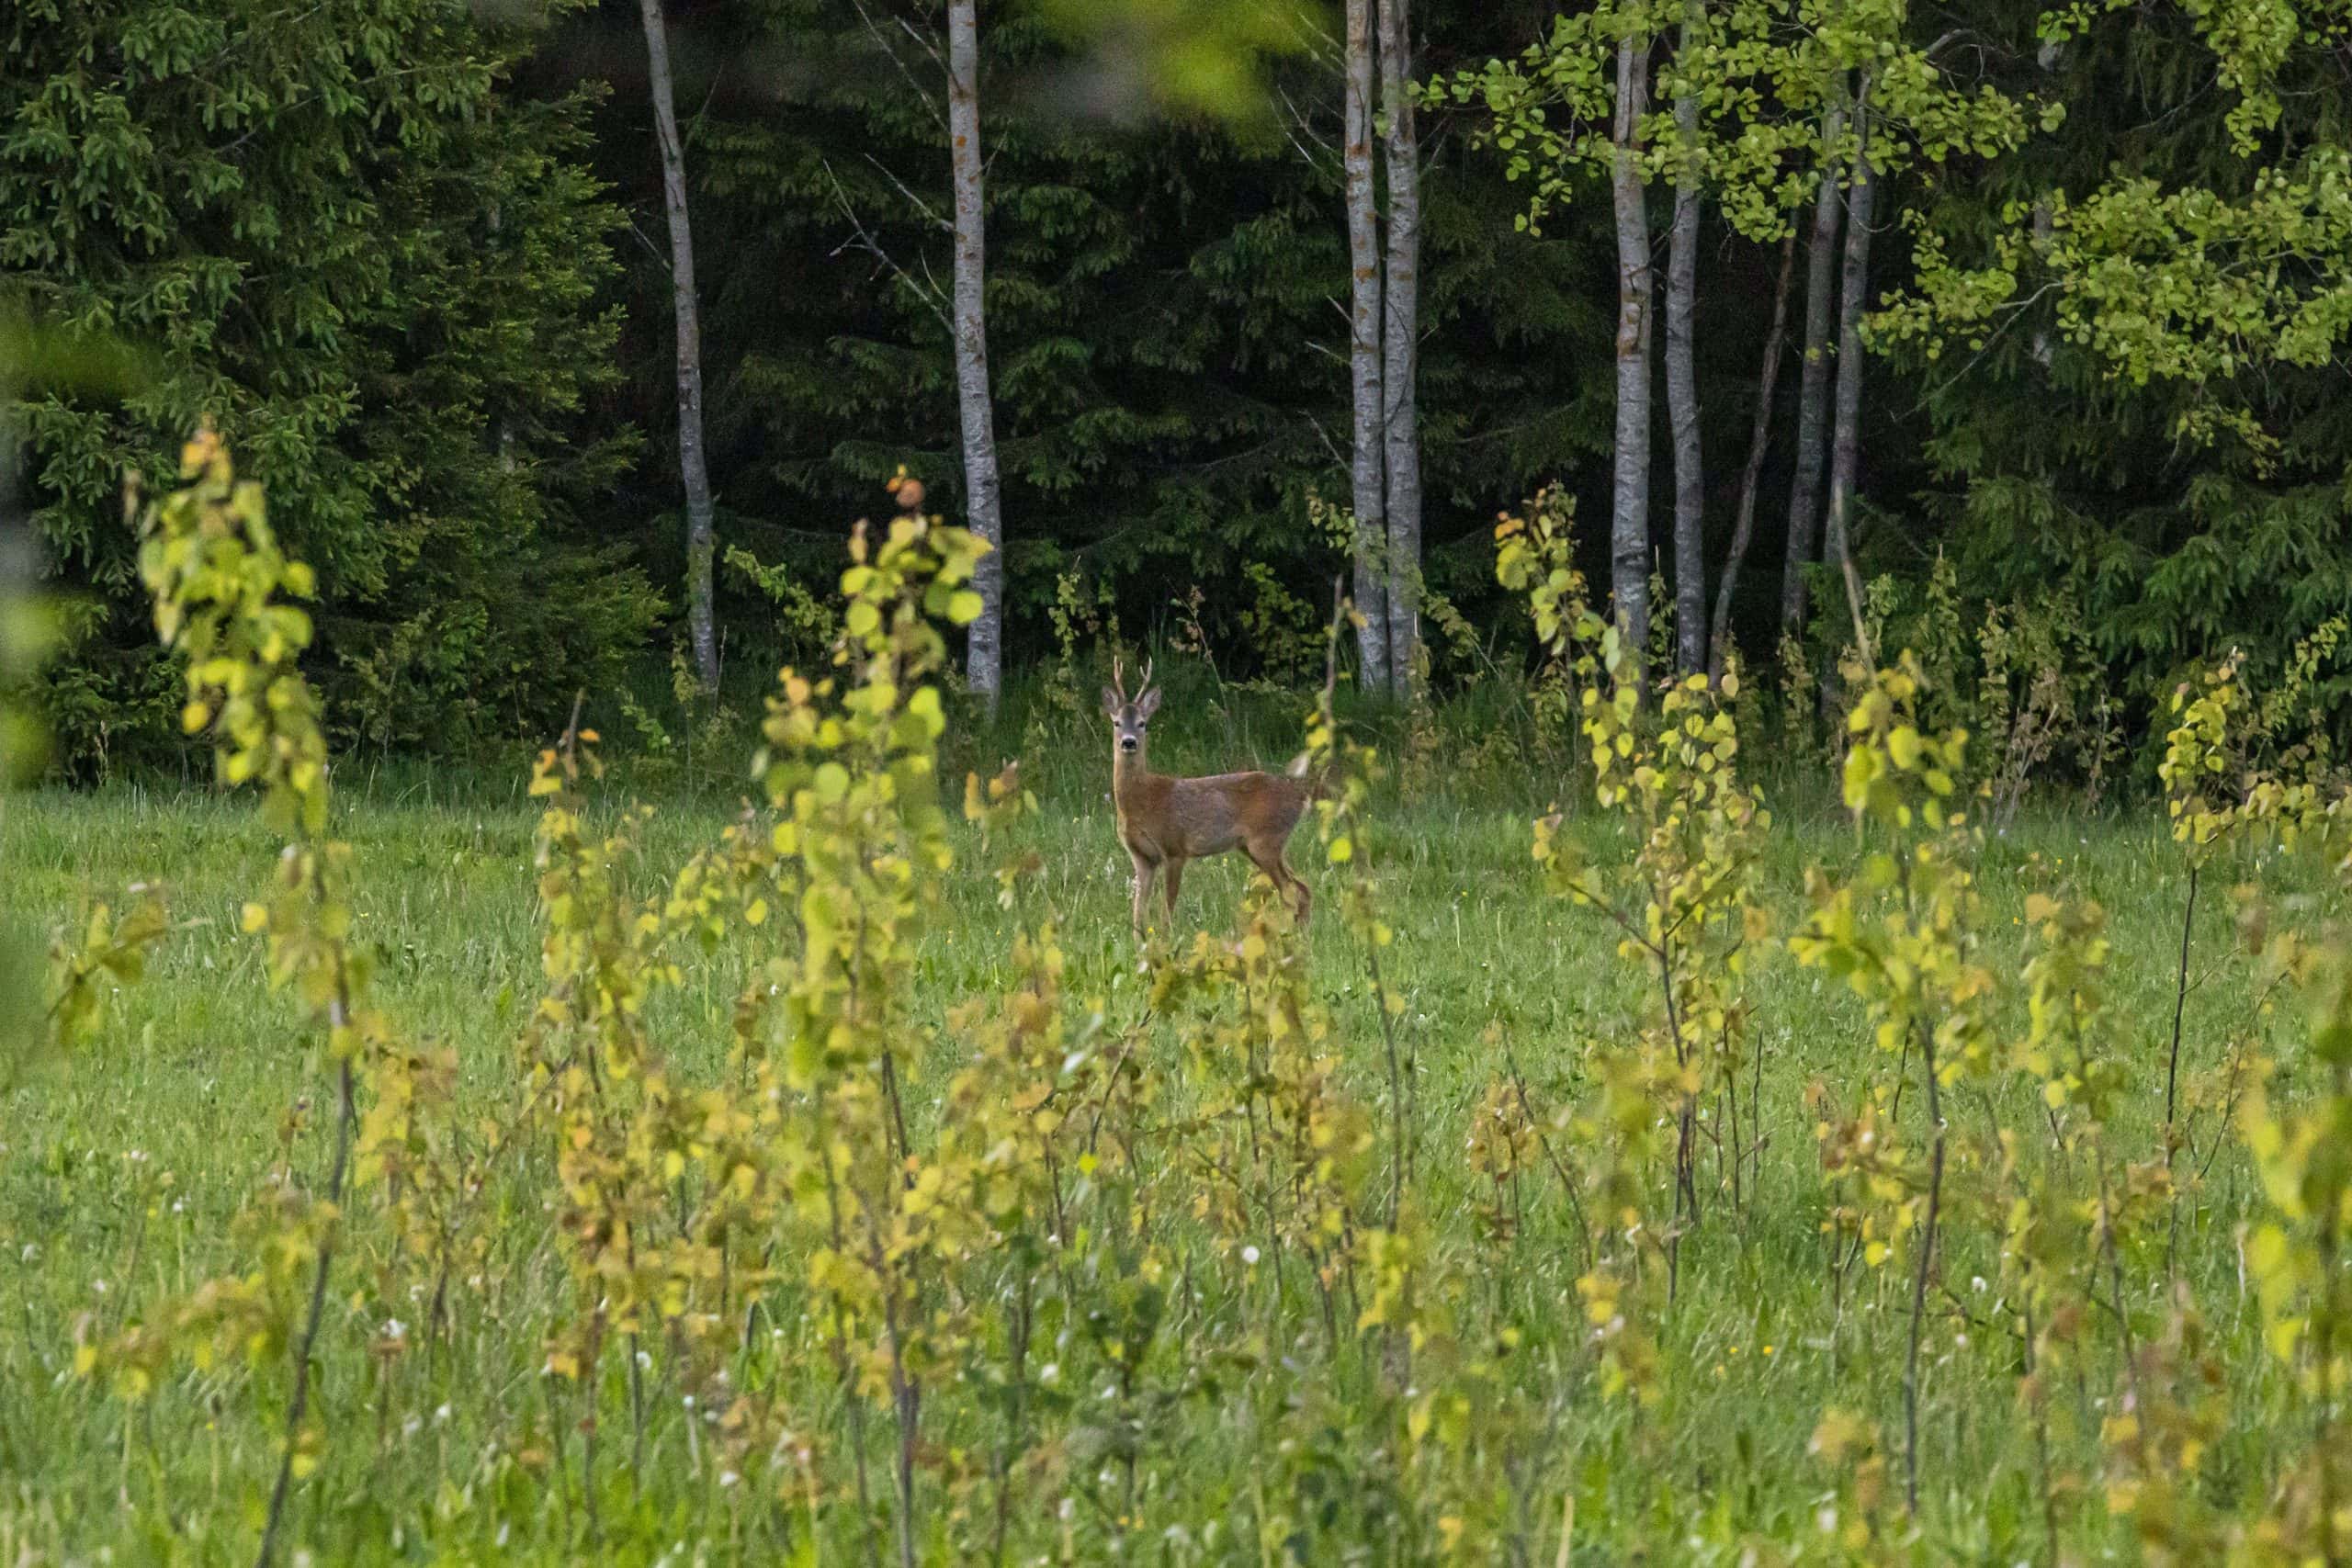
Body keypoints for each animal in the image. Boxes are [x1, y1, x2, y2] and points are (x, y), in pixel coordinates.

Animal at [1095, 658, 1307, 940]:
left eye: (1143, 723)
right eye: (1117, 722)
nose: (1129, 742)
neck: (1142, 800)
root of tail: (1300, 797)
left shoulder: (1175, 847)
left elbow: (1166, 908)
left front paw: (1166, 941)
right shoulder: (1142, 857)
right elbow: (1138, 911)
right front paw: (1139, 944)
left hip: (1266, 841)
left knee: (1295, 891)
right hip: (1255, 846)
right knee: (1302, 888)